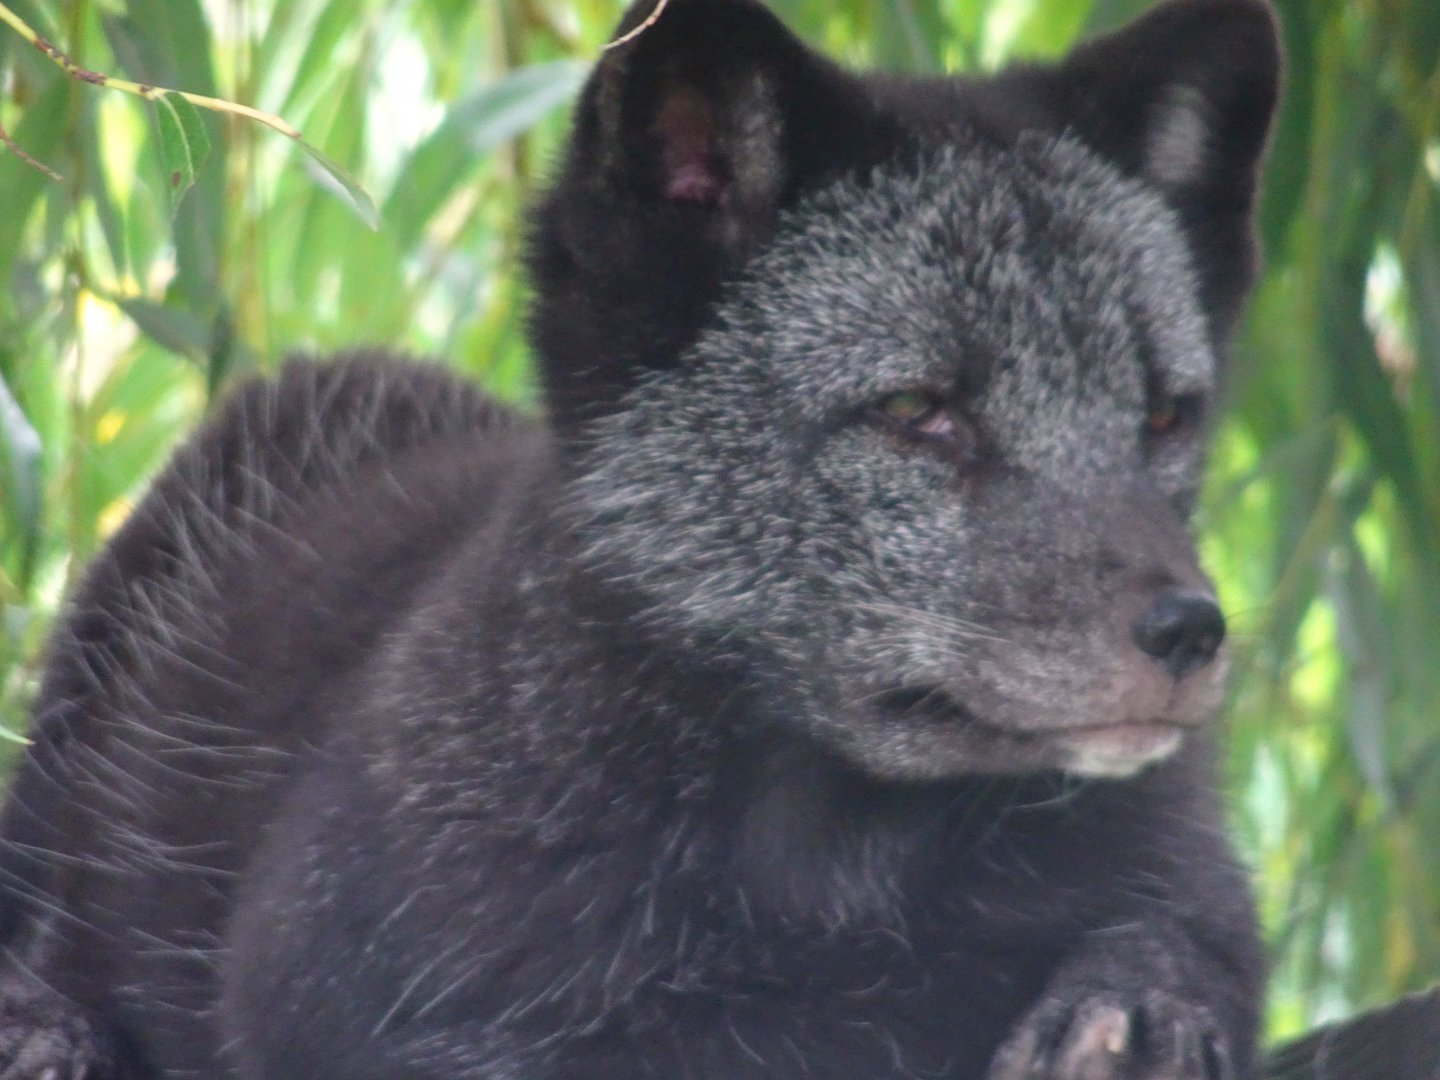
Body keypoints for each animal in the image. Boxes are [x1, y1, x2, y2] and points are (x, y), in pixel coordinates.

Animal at [0, 0, 1289, 1077]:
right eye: (921, 412)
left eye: (1165, 416)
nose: (1190, 633)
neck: (836, 885)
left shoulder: (1191, 882)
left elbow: (1178, 940)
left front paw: (1130, 1011)